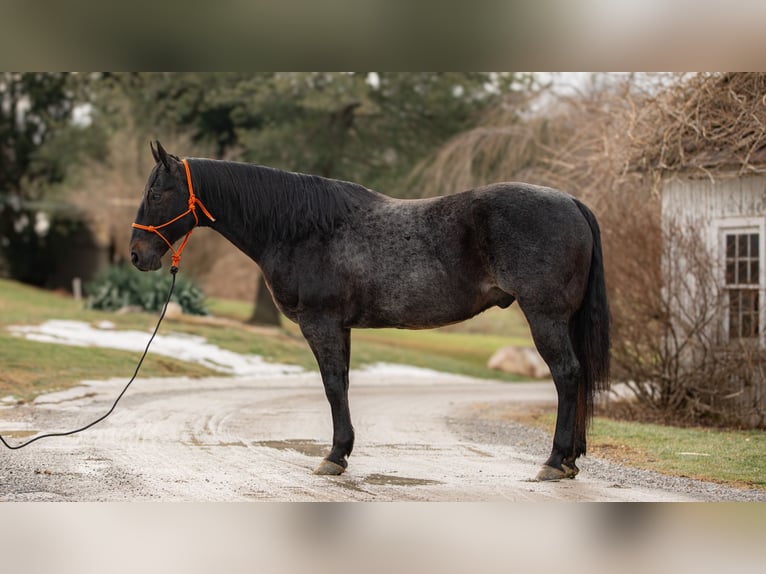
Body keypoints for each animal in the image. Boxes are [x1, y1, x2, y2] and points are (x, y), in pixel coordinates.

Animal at [132, 141, 612, 482]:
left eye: (156, 193)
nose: (137, 255)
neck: (301, 227)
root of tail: (572, 202)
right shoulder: (339, 327)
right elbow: (342, 383)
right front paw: (342, 452)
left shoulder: (320, 322)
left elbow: (331, 386)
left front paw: (333, 456)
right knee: (577, 375)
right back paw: (571, 460)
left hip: (544, 316)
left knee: (567, 374)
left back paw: (554, 461)